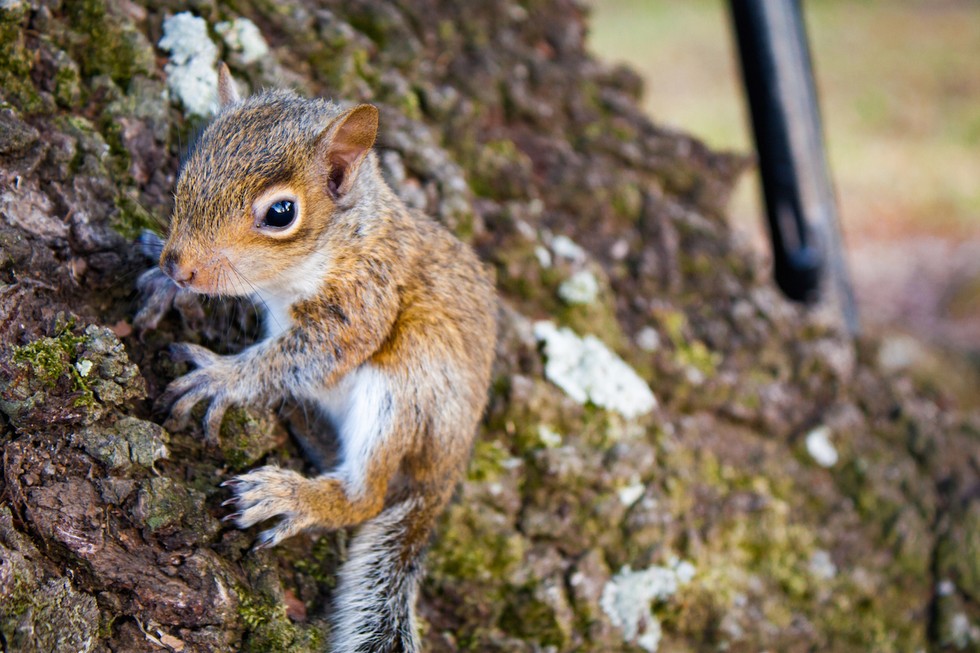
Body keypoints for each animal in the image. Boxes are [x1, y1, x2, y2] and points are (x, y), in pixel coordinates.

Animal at [138, 67, 498, 652]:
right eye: (191, 162)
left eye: (281, 213)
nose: (178, 266)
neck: (339, 242)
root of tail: (445, 473)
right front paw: (163, 278)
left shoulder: (362, 303)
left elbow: (304, 355)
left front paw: (223, 376)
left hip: (406, 386)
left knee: (366, 497)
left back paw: (292, 496)